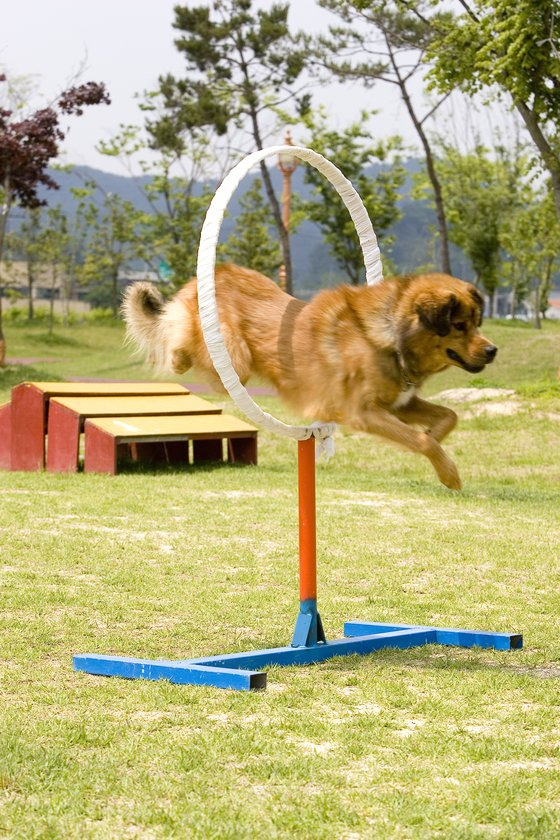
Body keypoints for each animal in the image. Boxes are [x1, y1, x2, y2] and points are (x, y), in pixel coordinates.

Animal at [122, 264, 494, 492]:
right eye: (459, 325)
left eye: (478, 323)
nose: (492, 351)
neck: (389, 331)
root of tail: (214, 272)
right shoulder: (364, 413)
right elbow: (422, 441)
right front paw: (449, 474)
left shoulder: (399, 403)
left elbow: (448, 417)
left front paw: (437, 440)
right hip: (234, 361)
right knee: (183, 340)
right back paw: (178, 357)